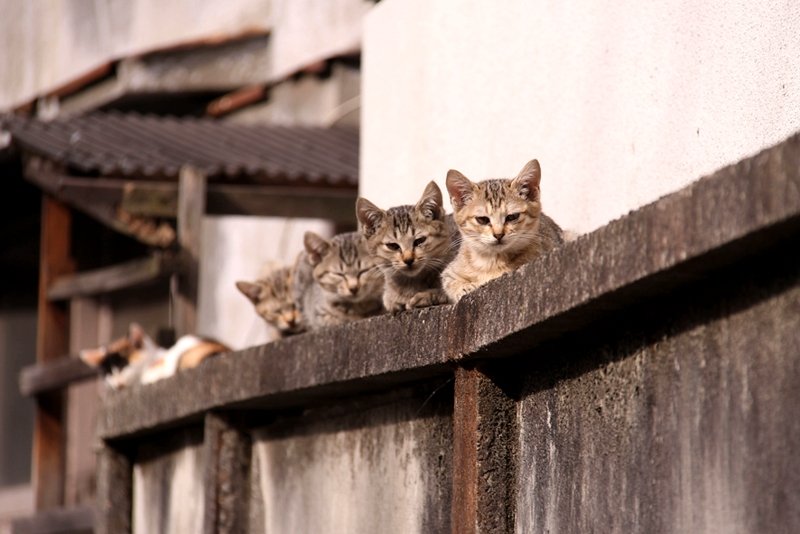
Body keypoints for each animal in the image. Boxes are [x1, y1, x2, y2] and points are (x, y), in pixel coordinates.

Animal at [444, 158, 564, 302]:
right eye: (482, 219)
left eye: (512, 217)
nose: (498, 234)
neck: (492, 261)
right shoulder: (449, 272)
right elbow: (450, 282)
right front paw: (464, 287)